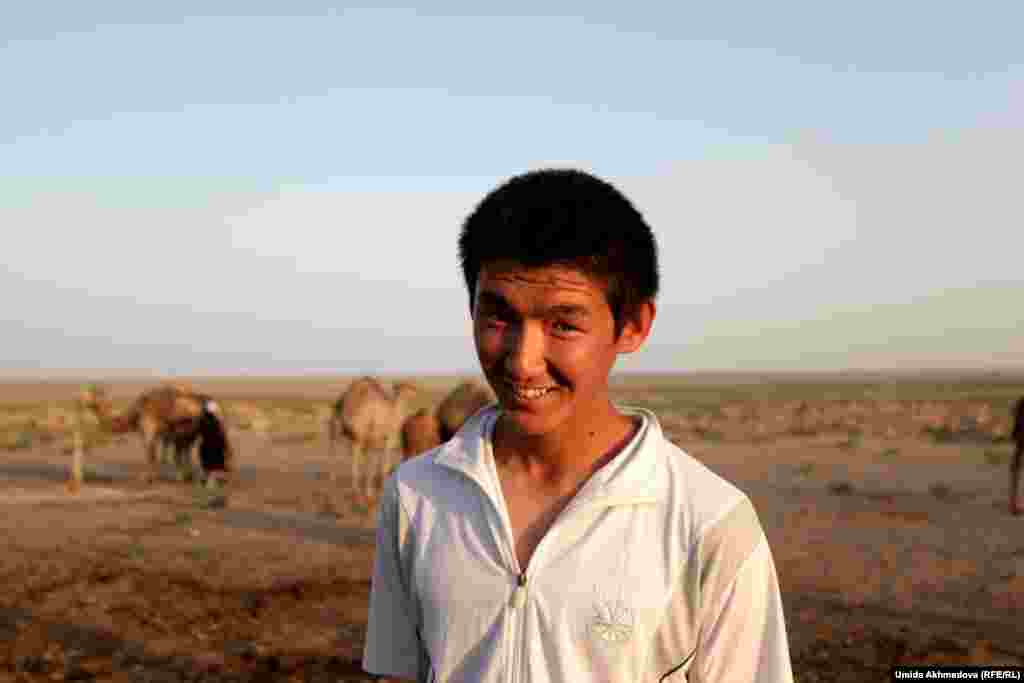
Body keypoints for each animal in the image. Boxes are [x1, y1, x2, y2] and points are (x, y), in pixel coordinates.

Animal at [77, 385, 234, 485]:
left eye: (88, 394)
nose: (79, 399)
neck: (135, 412)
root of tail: (211, 402)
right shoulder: (164, 434)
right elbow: (164, 455)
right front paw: (181, 477)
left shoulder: (149, 428)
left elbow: (150, 454)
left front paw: (145, 478)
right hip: (195, 430)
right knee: (192, 450)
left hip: (204, 428)